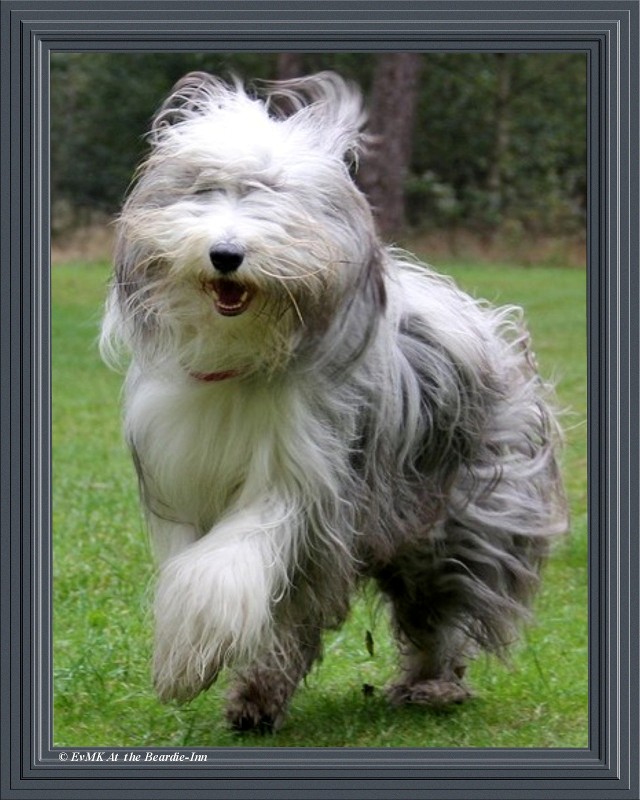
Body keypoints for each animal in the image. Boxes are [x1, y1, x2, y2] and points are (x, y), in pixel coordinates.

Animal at [101, 72, 568, 736]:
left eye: (274, 197)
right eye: (206, 190)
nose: (226, 254)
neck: (245, 356)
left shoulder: (307, 487)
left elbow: (231, 568)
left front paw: (191, 657)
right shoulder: (185, 481)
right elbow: (214, 571)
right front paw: (220, 675)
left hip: (459, 513)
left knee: (440, 603)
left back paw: (431, 683)